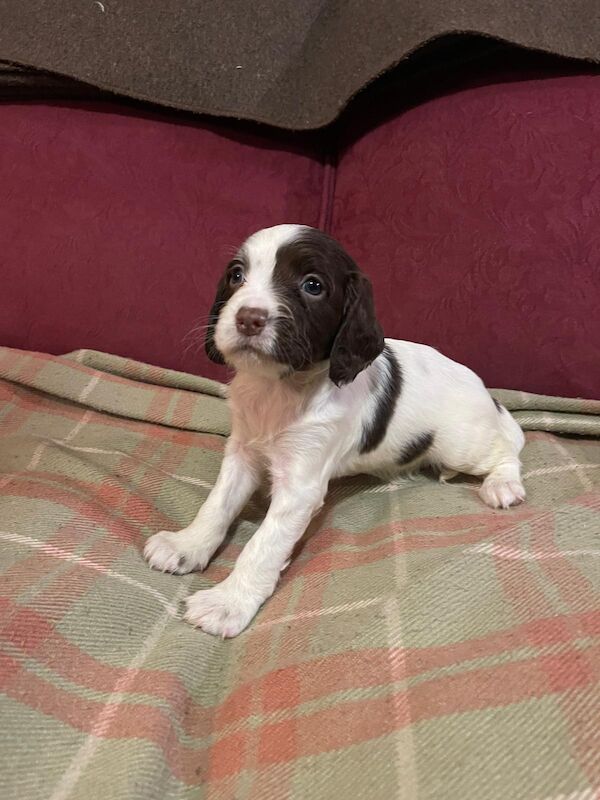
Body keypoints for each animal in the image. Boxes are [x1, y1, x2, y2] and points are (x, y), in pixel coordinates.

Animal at [143, 225, 524, 636]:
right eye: (236, 275)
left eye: (313, 285)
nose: (248, 319)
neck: (279, 388)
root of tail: (486, 393)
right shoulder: (243, 452)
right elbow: (217, 504)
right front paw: (186, 546)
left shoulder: (300, 485)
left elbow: (263, 544)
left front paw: (228, 602)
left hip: (463, 442)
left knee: (507, 450)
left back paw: (503, 485)